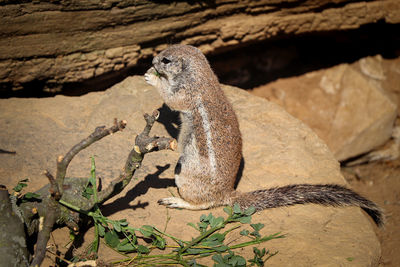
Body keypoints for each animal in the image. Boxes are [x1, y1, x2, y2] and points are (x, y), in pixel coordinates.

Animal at [145, 43, 384, 226]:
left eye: (165, 59)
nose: (153, 60)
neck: (199, 76)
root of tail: (228, 193)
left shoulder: (185, 95)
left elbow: (170, 98)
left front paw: (152, 78)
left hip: (185, 174)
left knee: (204, 204)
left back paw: (178, 201)